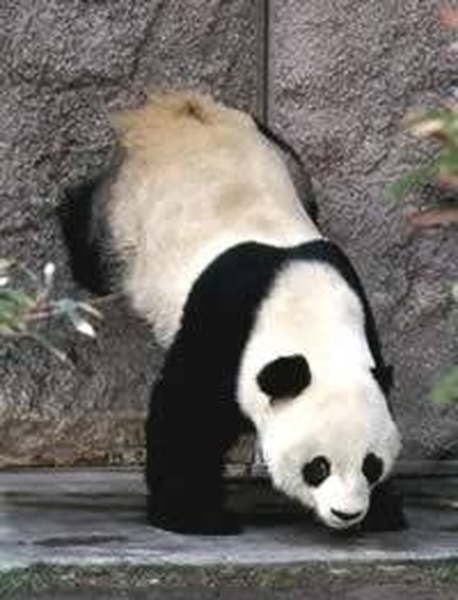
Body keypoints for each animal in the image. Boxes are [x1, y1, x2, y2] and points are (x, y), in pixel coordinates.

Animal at [60, 92, 404, 536]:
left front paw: (384, 511)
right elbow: (187, 413)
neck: (304, 305)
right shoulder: (224, 321)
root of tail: (173, 107)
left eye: (370, 465)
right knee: (91, 244)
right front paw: (195, 516)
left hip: (282, 155)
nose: (347, 514)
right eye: (318, 467)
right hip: (122, 214)